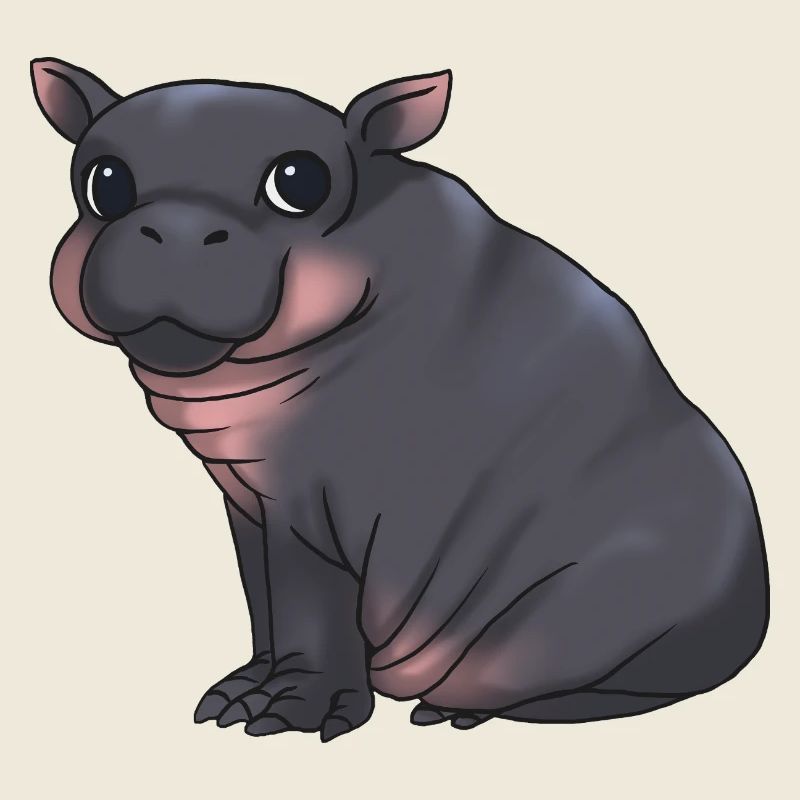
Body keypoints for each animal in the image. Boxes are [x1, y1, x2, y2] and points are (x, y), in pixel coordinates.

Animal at [31, 57, 768, 741]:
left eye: (299, 181)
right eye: (103, 180)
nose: (176, 229)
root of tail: (752, 609)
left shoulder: (311, 507)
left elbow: (308, 606)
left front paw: (286, 715)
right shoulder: (247, 499)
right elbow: (262, 600)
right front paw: (236, 695)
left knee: (617, 690)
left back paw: (455, 709)